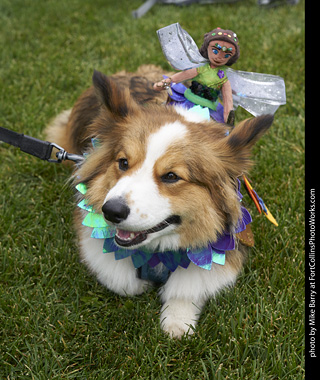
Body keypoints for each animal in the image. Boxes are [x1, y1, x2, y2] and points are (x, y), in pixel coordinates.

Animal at [46, 65, 274, 338]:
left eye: (171, 176)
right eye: (123, 162)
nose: (110, 211)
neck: (157, 252)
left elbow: (188, 286)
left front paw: (177, 320)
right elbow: (124, 283)